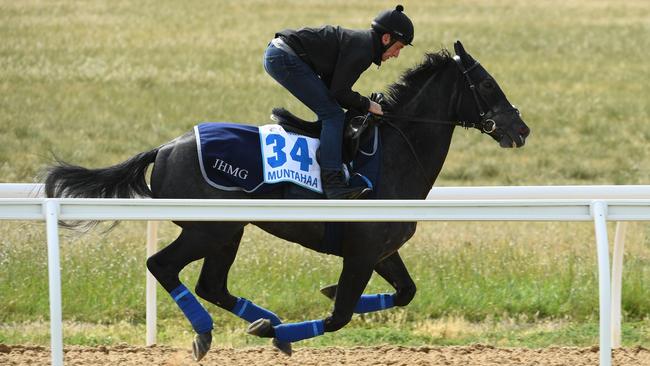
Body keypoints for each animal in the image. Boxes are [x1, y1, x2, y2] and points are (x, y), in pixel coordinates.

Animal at [43, 41, 528, 358]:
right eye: (487, 84)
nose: (520, 129)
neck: (394, 153)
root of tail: (164, 148)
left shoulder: (381, 250)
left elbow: (405, 292)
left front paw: (307, 305)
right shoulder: (360, 252)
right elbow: (339, 315)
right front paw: (284, 334)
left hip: (227, 233)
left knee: (211, 284)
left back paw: (262, 318)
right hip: (209, 228)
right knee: (162, 265)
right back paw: (211, 331)